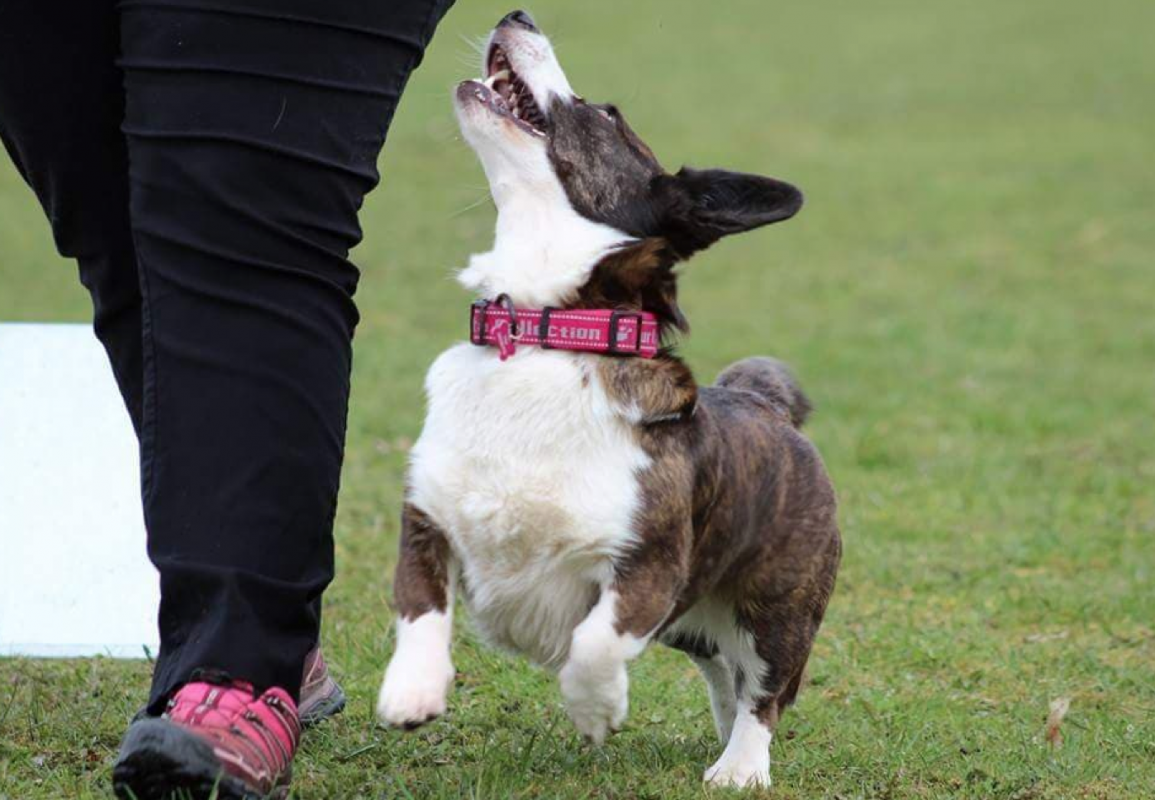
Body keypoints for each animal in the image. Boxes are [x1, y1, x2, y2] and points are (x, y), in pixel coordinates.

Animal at [378, 9, 840, 789]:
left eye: (606, 114)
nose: (519, 14)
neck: (544, 330)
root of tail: (767, 401)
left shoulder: (648, 568)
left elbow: (595, 642)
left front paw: (596, 711)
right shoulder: (427, 521)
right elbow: (419, 607)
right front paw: (411, 693)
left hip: (778, 607)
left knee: (765, 688)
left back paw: (740, 765)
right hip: (694, 621)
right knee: (724, 671)